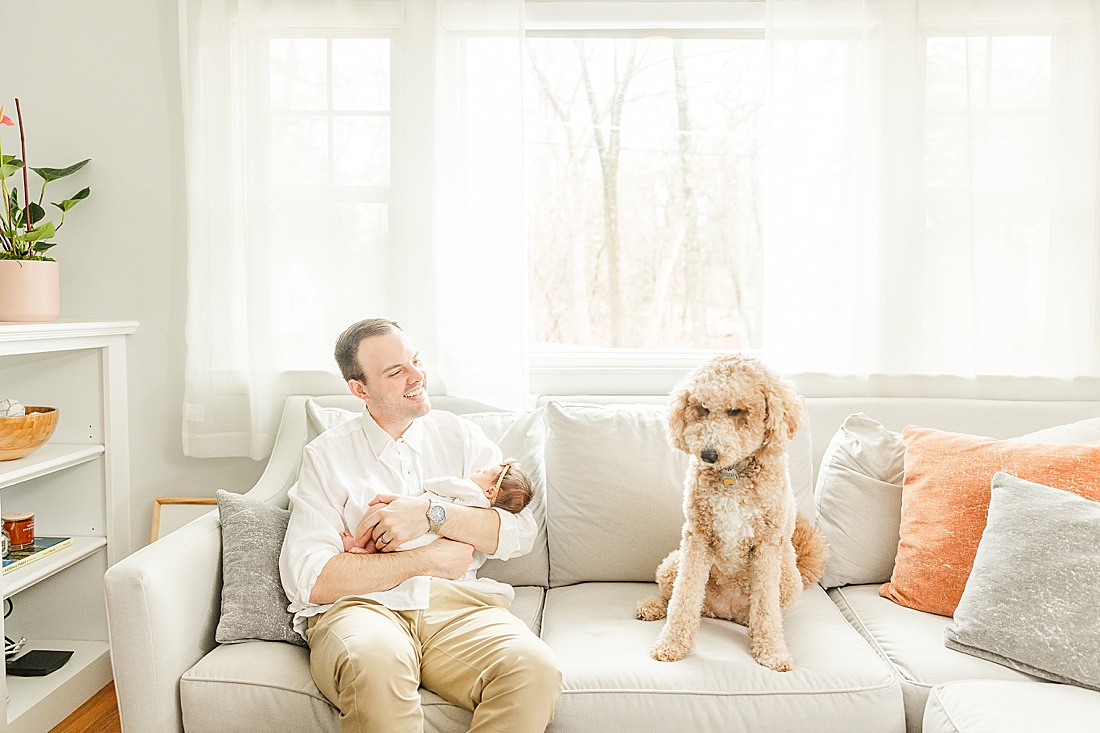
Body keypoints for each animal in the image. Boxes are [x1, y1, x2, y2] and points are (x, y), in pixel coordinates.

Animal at [638, 352, 827, 669]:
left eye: (736, 411)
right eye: (703, 408)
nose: (708, 454)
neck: (732, 473)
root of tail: (724, 611)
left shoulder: (766, 546)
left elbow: (766, 608)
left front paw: (772, 651)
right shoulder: (697, 538)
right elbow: (684, 597)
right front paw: (672, 644)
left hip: (790, 580)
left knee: (763, 612)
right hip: (672, 563)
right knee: (673, 597)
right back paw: (651, 607)